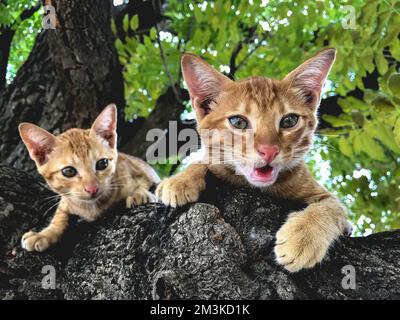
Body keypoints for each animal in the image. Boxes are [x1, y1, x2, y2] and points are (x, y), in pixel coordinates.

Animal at [18, 105, 159, 252]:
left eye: (102, 163)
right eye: (68, 171)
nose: (92, 189)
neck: (93, 208)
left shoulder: (140, 172)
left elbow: (143, 183)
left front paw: (140, 194)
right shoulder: (67, 199)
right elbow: (60, 216)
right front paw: (44, 234)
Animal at [156, 48, 350, 272]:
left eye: (289, 121)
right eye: (238, 122)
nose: (269, 151)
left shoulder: (328, 199)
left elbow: (331, 208)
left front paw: (302, 239)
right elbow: (208, 160)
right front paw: (180, 180)